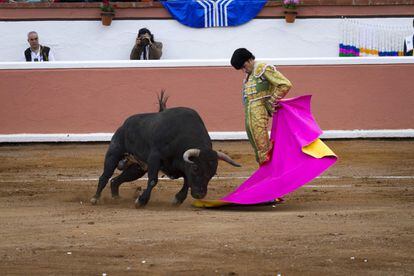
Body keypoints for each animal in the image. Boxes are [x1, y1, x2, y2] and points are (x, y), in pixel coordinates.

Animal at [90, 106, 239, 206]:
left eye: (212, 173)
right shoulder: (154, 158)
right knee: (105, 176)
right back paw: (95, 198)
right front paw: (141, 201)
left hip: (137, 168)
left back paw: (116, 198)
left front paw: (178, 199)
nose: (199, 194)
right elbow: (153, 180)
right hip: (114, 153)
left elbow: (187, 182)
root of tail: (124, 125)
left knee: (115, 180)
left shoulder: (182, 166)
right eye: (196, 168)